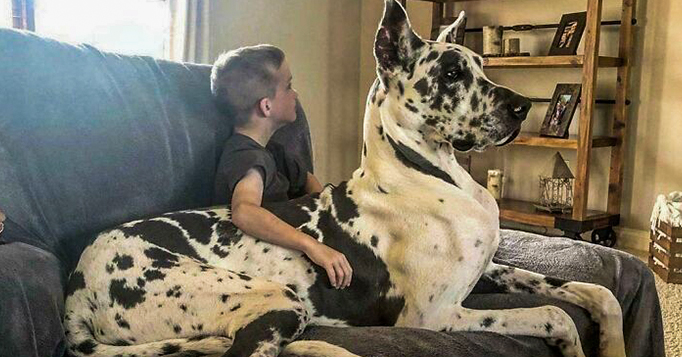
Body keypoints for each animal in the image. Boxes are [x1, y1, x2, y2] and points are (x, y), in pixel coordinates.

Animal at [63, 1, 620, 354]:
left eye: (482, 65)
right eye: (451, 74)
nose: (524, 106)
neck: (426, 175)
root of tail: (75, 286)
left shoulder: (489, 271)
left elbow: (594, 292)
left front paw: (612, 339)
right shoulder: (434, 316)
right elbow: (552, 314)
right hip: (277, 300)